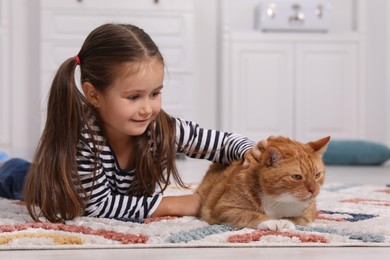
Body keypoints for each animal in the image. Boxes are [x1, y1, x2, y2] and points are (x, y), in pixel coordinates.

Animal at [198, 135, 330, 231]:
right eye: (297, 177)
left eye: (317, 175)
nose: (313, 190)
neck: (279, 199)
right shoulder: (224, 208)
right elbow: (249, 215)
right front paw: (271, 221)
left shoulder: (309, 213)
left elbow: (295, 218)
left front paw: (285, 222)